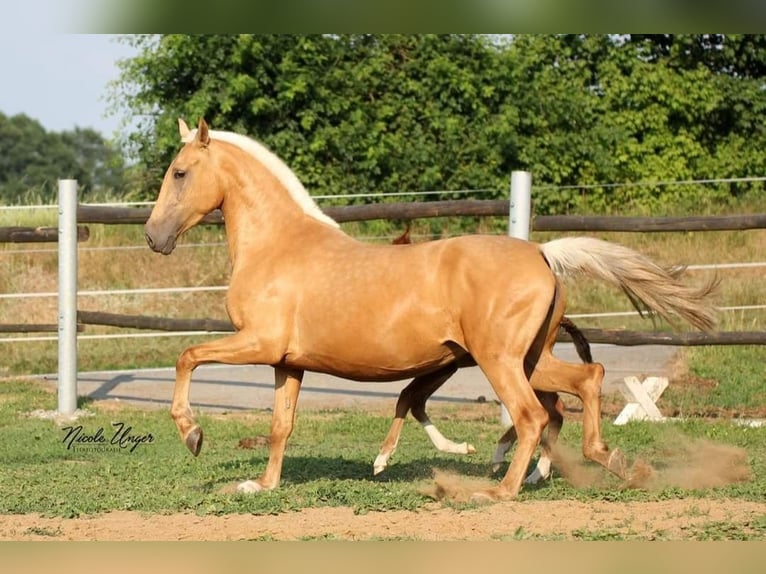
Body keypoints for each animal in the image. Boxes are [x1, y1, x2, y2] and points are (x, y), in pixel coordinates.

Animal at [144, 118, 717, 500]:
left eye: (180, 172)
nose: (154, 237)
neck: (278, 246)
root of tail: (542, 253)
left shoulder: (258, 344)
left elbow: (187, 356)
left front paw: (192, 434)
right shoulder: (287, 362)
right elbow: (281, 425)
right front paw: (261, 486)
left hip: (499, 360)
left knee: (533, 414)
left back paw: (501, 489)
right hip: (529, 358)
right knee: (586, 381)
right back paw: (612, 461)